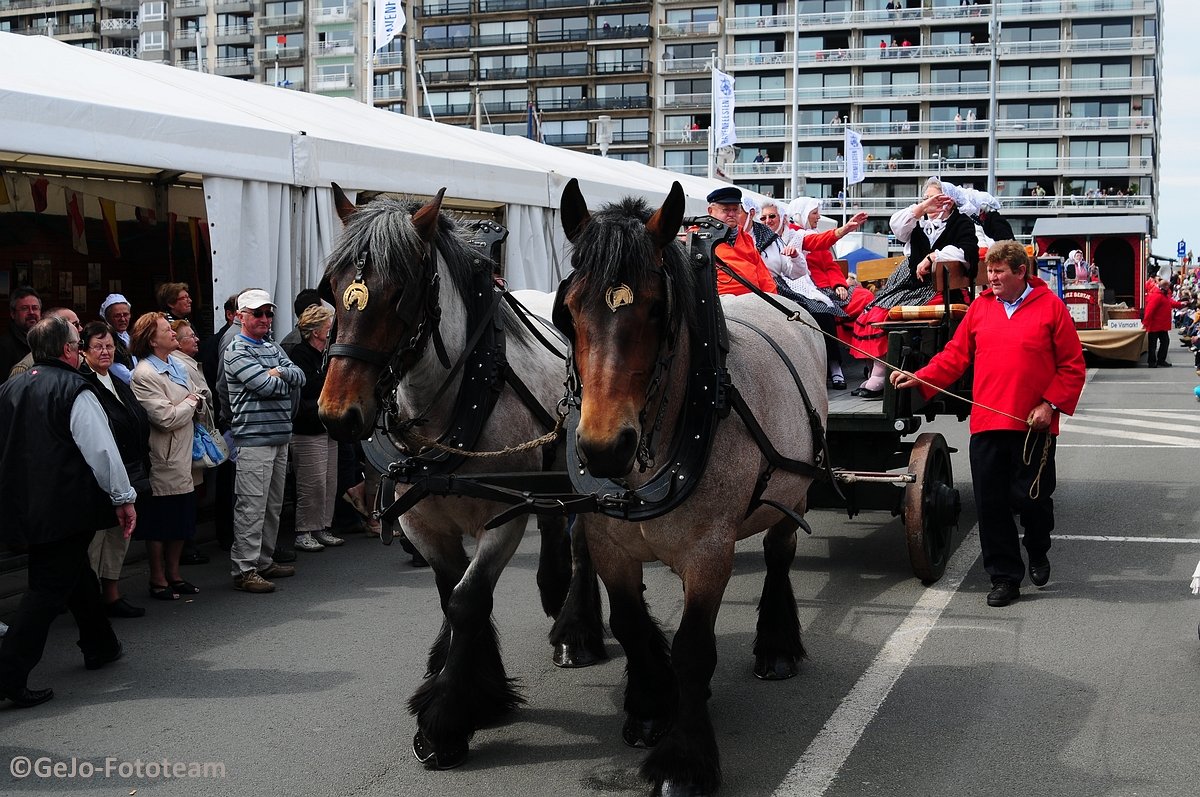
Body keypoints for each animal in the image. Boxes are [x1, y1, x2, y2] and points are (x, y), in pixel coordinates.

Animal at [319, 187, 604, 772]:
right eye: (332, 287)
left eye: (399, 292)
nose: (338, 416)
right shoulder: (425, 522)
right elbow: (451, 594)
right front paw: (476, 687)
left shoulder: (500, 518)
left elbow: (469, 601)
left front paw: (446, 720)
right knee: (553, 524)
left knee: (582, 540)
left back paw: (575, 631)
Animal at [554, 182, 830, 797]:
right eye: (567, 309)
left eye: (658, 309)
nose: (604, 449)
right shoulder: (610, 545)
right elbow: (630, 625)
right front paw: (651, 707)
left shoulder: (709, 551)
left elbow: (692, 649)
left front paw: (683, 759)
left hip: (792, 495)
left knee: (779, 556)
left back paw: (777, 645)